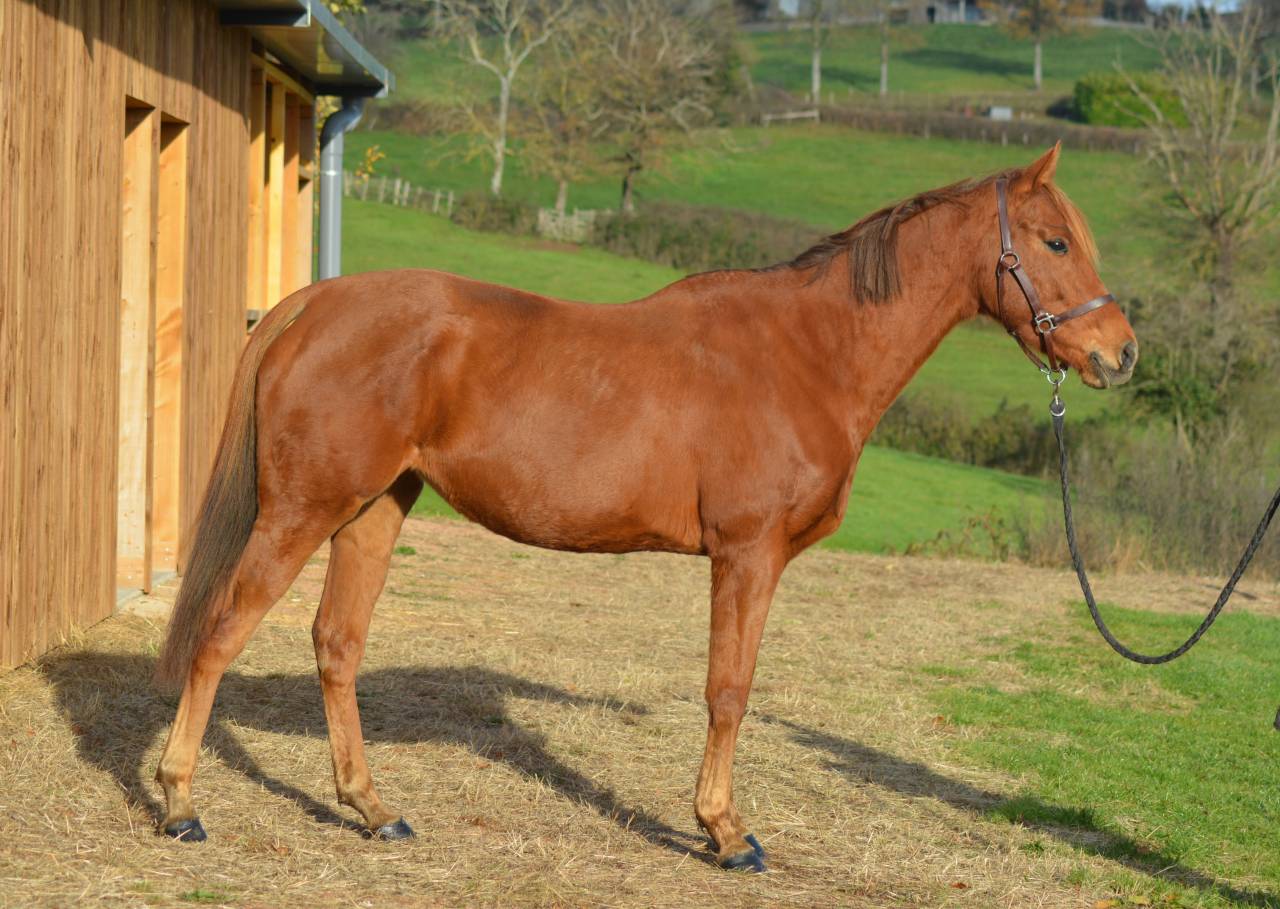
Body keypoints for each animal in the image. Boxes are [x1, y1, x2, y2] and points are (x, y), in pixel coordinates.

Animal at [152, 144, 1137, 872]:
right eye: (1054, 242)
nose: (1119, 352)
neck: (808, 352)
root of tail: (314, 303)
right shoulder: (747, 553)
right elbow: (728, 691)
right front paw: (725, 832)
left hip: (376, 509)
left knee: (337, 644)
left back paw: (371, 807)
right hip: (301, 510)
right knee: (222, 631)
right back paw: (180, 801)